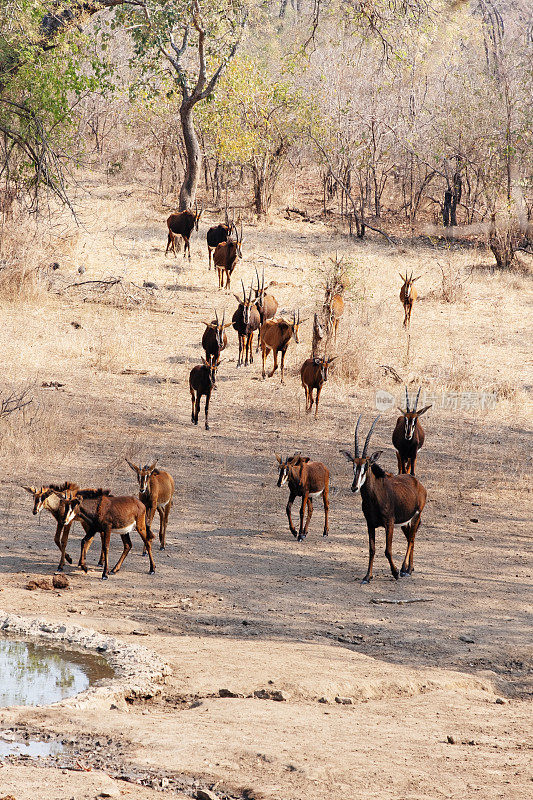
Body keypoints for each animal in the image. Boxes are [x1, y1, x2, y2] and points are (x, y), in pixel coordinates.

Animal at [340, 418, 428, 580]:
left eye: (367, 466)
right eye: (354, 466)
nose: (354, 487)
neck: (374, 498)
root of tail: (418, 483)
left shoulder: (389, 523)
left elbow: (388, 550)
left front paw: (395, 572)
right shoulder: (370, 524)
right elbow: (372, 550)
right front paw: (367, 577)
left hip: (416, 516)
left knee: (412, 539)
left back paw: (405, 569)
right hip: (405, 521)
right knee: (409, 538)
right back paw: (410, 568)